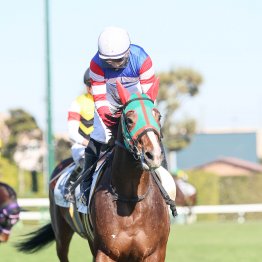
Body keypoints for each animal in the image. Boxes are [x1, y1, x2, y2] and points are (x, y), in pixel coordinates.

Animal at [16, 79, 172, 260]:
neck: (131, 199)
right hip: (62, 234)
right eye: (129, 119)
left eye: (158, 116)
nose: (153, 155)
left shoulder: (155, 252)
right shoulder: (105, 252)